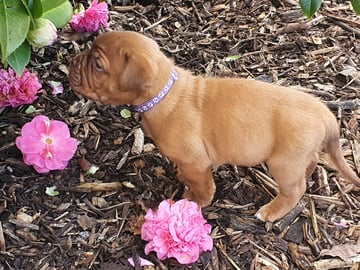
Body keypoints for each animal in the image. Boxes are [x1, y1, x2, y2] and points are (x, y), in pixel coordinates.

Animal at [68, 31, 360, 221]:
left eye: (97, 65)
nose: (73, 62)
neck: (164, 92)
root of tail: (325, 113)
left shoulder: (196, 162)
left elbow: (202, 186)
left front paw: (196, 201)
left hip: (283, 163)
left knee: (295, 189)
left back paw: (271, 211)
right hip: (299, 156)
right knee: (309, 167)